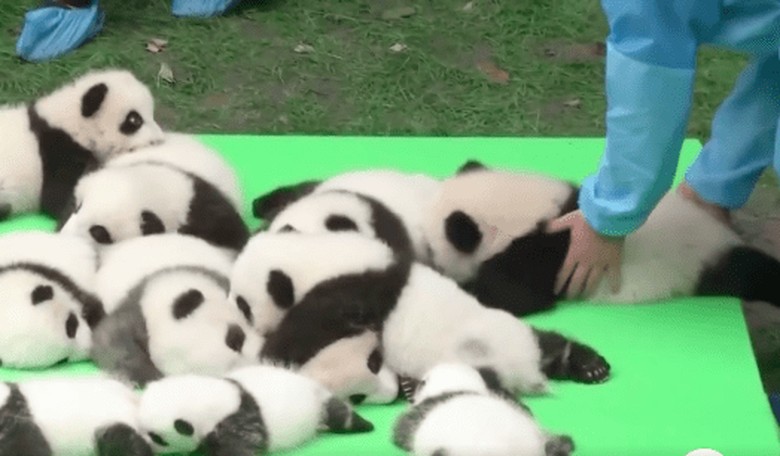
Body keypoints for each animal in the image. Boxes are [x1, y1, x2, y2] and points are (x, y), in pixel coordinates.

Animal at [137, 365, 374, 456]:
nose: (147, 447)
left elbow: (241, 447)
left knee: (339, 414)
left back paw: (363, 425)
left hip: (318, 403)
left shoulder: (237, 421)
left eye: (156, 437)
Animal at [233, 231, 610, 395]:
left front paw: (273, 350)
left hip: (474, 353)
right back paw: (588, 365)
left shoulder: (348, 291)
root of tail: (526, 370)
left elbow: (310, 329)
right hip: (510, 330)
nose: (249, 324)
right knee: (548, 342)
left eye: (242, 304)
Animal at [423, 160, 780, 315]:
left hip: (703, 266)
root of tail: (722, 236)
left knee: (750, 271)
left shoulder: (536, 257)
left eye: (432, 250)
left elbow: (510, 297)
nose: (430, 262)